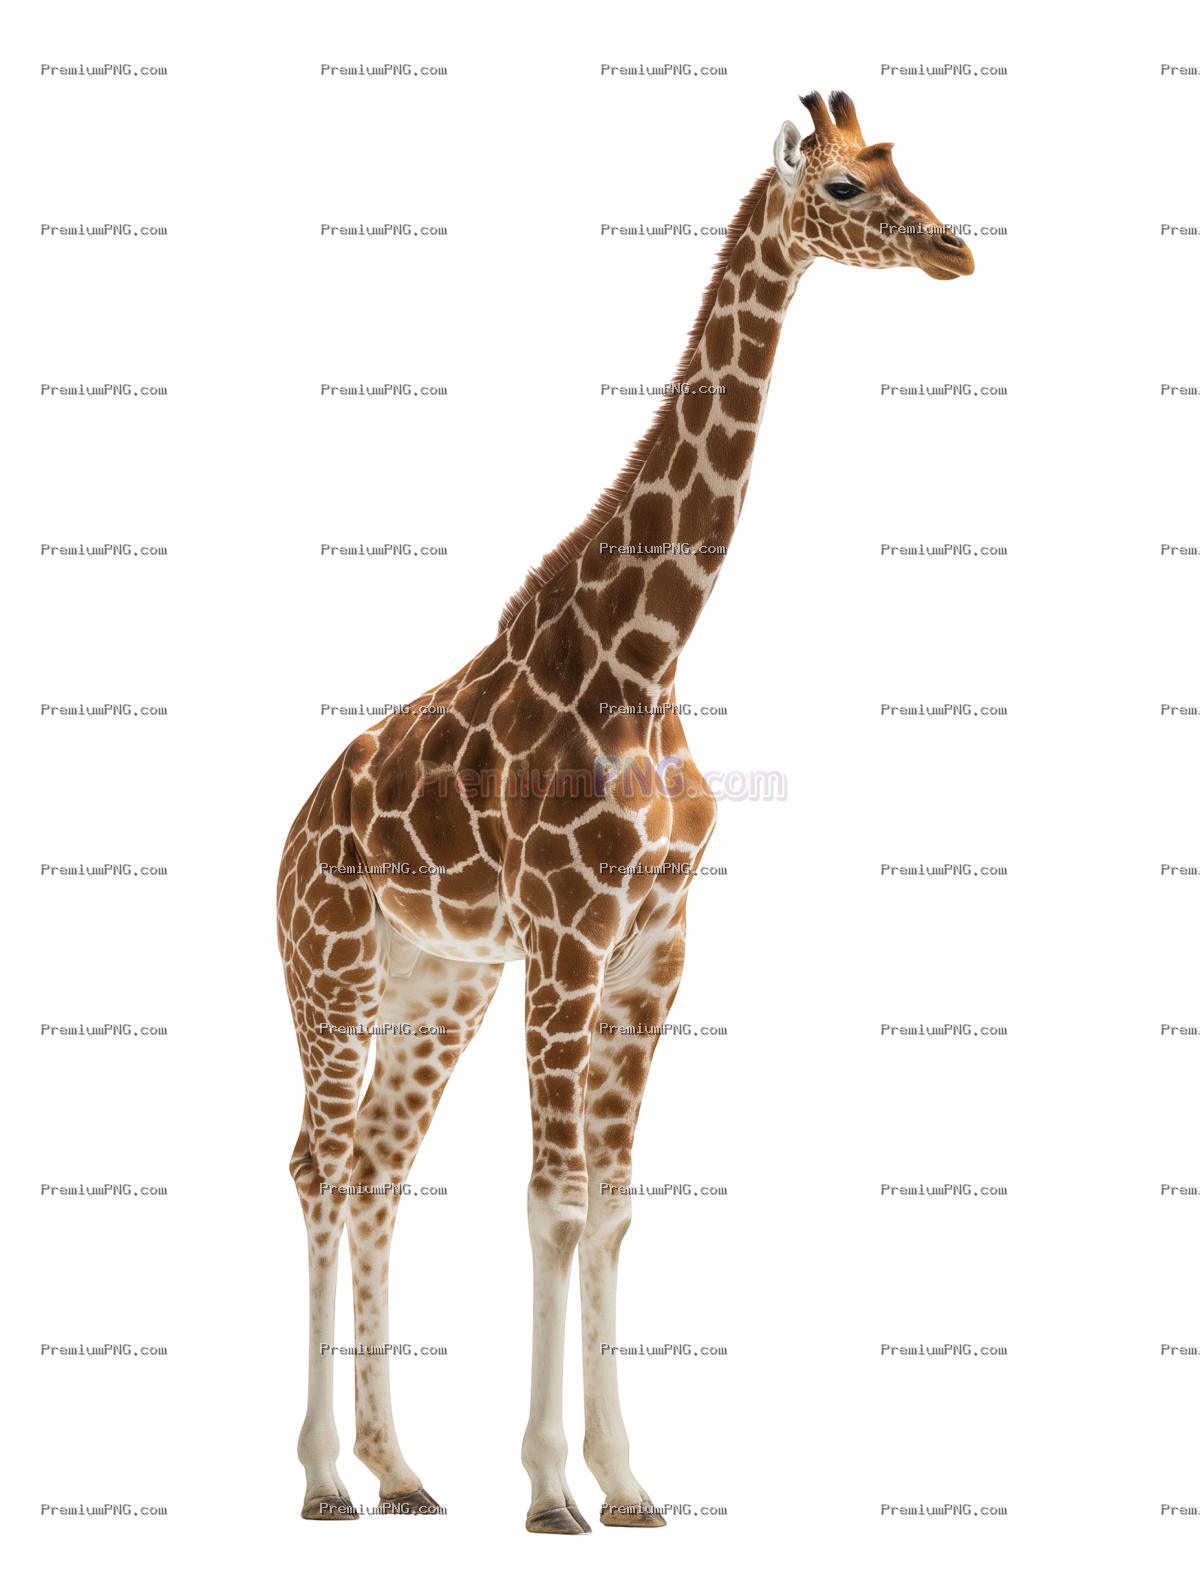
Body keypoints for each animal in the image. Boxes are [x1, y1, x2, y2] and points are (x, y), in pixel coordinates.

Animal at [276, 88, 975, 1531]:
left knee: (376, 1164)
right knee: (315, 1161)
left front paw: (630, 1483)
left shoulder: (657, 945)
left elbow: (611, 1206)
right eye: (842, 186)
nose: (957, 247)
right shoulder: (570, 929)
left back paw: (400, 1470)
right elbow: (550, 1199)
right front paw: (552, 1489)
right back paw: (321, 1478)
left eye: (900, 164)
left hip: (435, 984)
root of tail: (287, 833)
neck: (647, 656)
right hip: (331, 967)